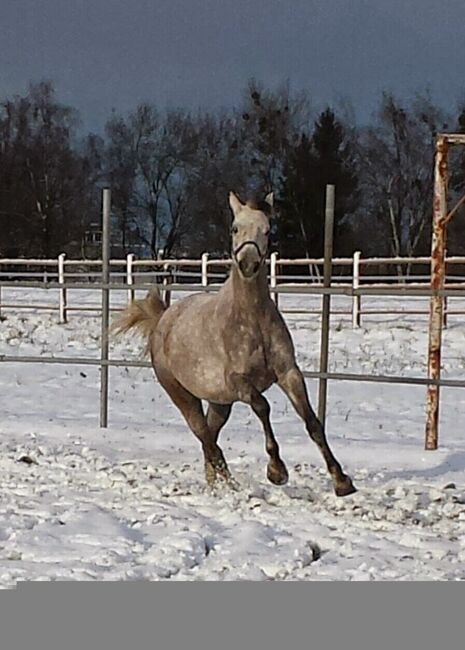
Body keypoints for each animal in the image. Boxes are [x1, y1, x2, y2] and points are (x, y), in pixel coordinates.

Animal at [116, 190, 356, 494]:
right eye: (234, 228)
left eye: (267, 230)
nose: (249, 264)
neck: (251, 320)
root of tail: (163, 319)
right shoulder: (238, 382)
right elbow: (263, 407)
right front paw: (277, 470)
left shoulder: (289, 373)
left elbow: (312, 421)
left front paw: (341, 480)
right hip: (182, 395)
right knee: (205, 437)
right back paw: (229, 485)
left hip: (220, 403)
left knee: (210, 436)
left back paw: (216, 484)